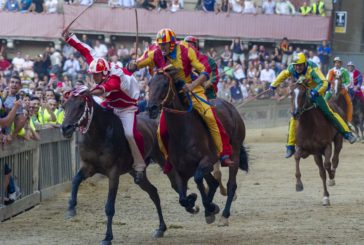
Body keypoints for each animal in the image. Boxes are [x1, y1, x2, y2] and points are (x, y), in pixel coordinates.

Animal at [60, 88, 166, 245]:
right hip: (136, 173)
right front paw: (71, 208)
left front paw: (107, 237)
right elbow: (75, 180)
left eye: (80, 105)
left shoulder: (113, 173)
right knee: (153, 191)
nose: (65, 128)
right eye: (64, 106)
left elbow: (109, 207)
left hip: (163, 159)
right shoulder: (88, 167)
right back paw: (161, 228)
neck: (99, 134)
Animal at [147, 68, 247, 226]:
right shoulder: (180, 169)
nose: (151, 108)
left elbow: (199, 180)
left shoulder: (207, 161)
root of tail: (231, 107)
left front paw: (209, 208)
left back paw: (224, 215)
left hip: (234, 153)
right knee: (213, 183)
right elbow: (183, 197)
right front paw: (197, 203)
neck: (182, 132)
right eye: (149, 84)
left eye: (164, 84)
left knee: (231, 185)